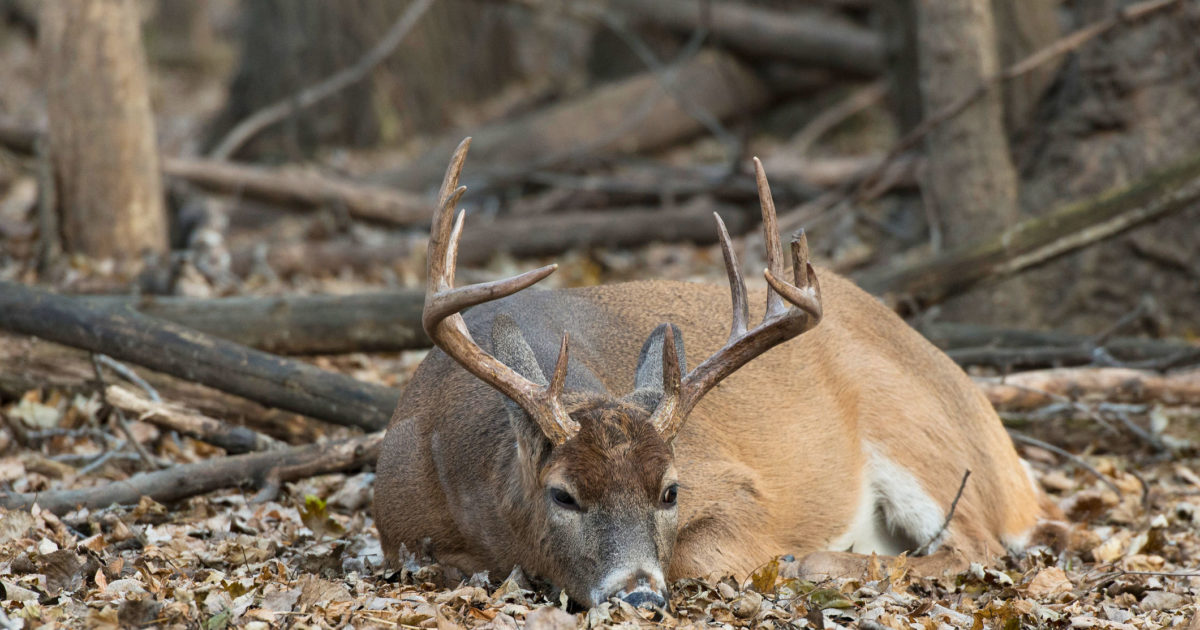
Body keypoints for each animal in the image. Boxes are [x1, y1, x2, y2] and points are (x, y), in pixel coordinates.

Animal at [372, 138, 1051, 609]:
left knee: (979, 544)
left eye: (671, 490)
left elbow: (702, 556)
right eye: (563, 494)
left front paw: (786, 560)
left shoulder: (737, 486)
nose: (638, 594)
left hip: (918, 430)